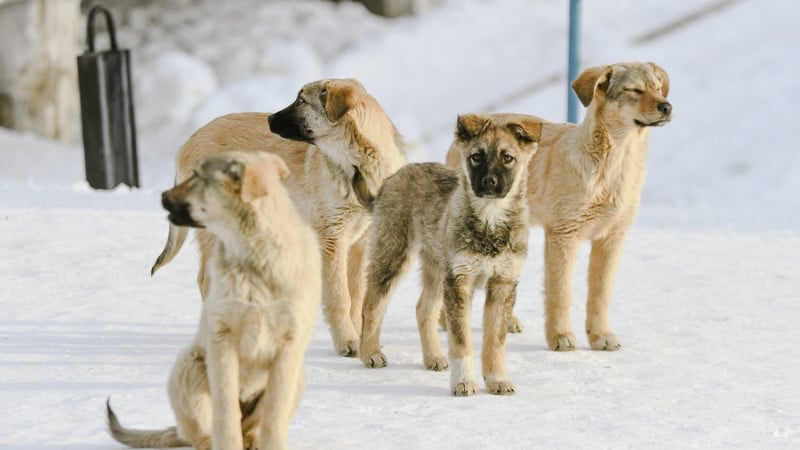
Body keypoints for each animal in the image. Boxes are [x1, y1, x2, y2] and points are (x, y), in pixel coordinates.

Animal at [107, 151, 322, 450]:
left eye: (197, 176)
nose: (162, 195)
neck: (255, 256)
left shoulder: (288, 348)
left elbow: (273, 419)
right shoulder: (223, 339)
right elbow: (225, 414)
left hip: (298, 377)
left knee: (252, 427)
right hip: (189, 368)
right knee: (205, 433)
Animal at [151, 78, 406, 358]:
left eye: (301, 101)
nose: (269, 119)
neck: (357, 165)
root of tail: (189, 140)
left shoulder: (360, 242)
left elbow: (356, 295)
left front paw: (362, 341)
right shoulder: (332, 240)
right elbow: (340, 297)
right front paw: (347, 341)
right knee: (206, 281)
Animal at [360, 113, 544, 398]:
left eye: (508, 158)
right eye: (476, 157)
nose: (489, 182)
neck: (490, 219)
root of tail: (390, 180)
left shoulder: (502, 284)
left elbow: (495, 341)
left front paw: (498, 380)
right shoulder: (459, 282)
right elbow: (461, 341)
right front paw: (464, 382)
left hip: (437, 268)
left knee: (423, 308)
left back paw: (433, 357)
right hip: (394, 256)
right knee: (371, 304)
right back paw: (369, 353)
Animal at [446, 61, 672, 354]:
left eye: (658, 88)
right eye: (634, 90)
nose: (667, 106)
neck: (613, 169)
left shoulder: (611, 239)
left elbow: (601, 294)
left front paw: (600, 336)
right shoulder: (563, 236)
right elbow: (560, 293)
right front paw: (560, 336)